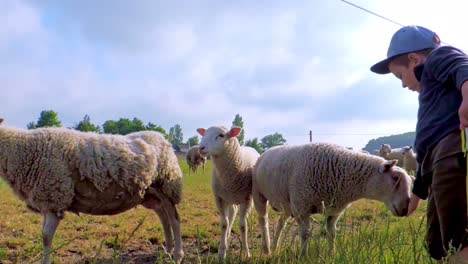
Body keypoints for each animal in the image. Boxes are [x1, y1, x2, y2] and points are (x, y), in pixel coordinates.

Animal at [0, 119, 185, 264]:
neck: (21, 151)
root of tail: (163, 138)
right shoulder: (47, 200)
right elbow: (44, 236)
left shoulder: (55, 196)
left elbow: (46, 237)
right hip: (149, 193)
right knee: (164, 217)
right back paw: (168, 251)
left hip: (165, 186)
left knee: (174, 219)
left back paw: (177, 255)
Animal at [195, 126, 260, 260]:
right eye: (204, 134)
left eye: (221, 135)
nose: (201, 148)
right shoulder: (219, 198)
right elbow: (224, 223)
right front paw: (221, 251)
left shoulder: (247, 199)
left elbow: (243, 226)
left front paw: (246, 253)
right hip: (230, 197)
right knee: (233, 213)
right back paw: (228, 235)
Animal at [252, 142, 414, 256]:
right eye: (395, 178)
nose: (405, 209)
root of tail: (266, 151)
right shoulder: (302, 208)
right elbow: (305, 234)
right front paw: (303, 256)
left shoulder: (334, 210)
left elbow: (332, 233)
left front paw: (331, 254)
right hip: (259, 194)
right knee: (263, 219)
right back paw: (267, 249)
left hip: (288, 204)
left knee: (281, 222)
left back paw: (275, 246)